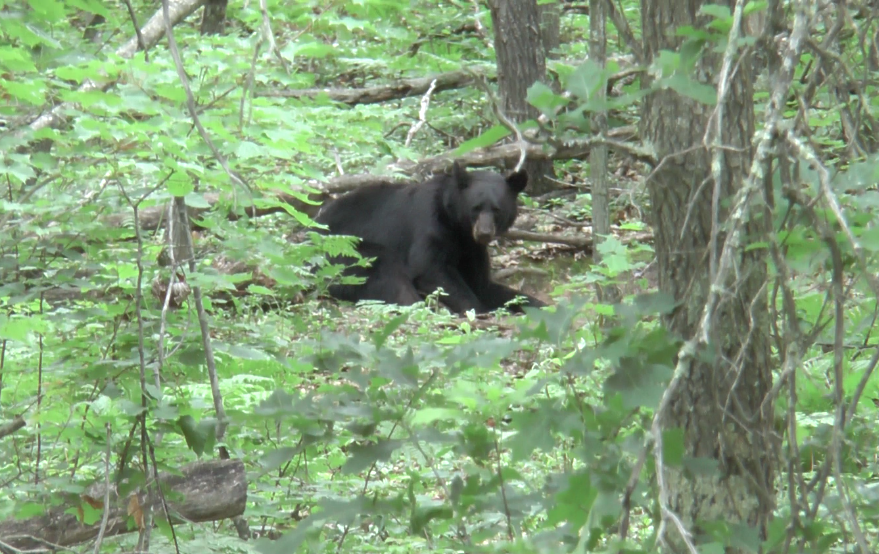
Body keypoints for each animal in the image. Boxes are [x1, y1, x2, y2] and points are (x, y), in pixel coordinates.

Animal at [314, 161, 546, 315]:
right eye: (476, 208)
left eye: (497, 210)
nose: (484, 232)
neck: (457, 228)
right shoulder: (428, 224)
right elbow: (429, 269)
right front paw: (479, 311)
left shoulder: (472, 250)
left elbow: (483, 285)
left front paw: (538, 304)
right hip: (344, 253)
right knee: (388, 274)